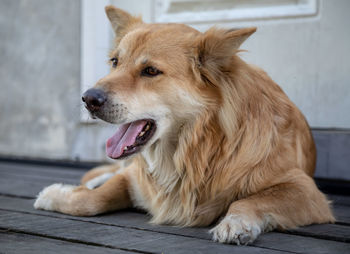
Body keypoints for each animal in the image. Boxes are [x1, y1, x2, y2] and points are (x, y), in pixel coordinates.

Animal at [34, 5, 334, 244]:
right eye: (115, 62)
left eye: (150, 71)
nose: (88, 99)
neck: (194, 151)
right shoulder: (135, 179)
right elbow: (94, 199)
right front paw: (57, 196)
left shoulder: (304, 189)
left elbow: (251, 199)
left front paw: (237, 222)